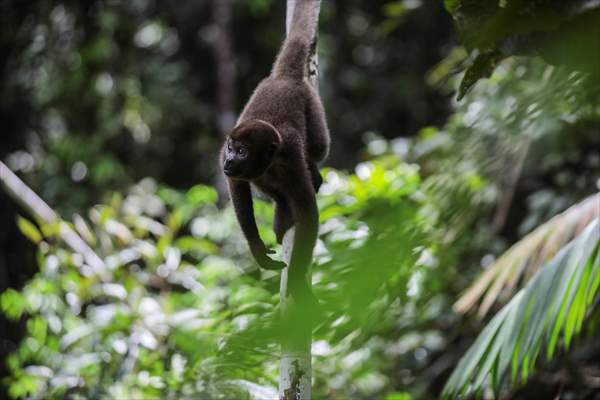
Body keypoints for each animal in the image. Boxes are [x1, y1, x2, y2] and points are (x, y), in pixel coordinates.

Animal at [223, 0, 330, 310]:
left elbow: (308, 214)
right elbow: (236, 184)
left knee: (319, 147)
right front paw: (257, 249)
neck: (271, 160)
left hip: (312, 104)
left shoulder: (291, 159)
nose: (228, 160)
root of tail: (284, 77)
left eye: (242, 151)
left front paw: (295, 282)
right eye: (231, 147)